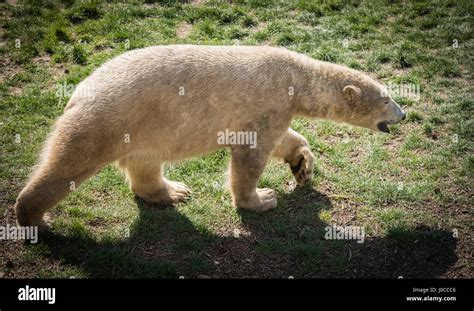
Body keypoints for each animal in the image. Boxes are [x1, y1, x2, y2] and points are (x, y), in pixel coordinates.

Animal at [15, 44, 408, 229]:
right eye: (386, 98)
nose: (403, 115)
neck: (296, 78)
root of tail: (79, 90)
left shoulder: (276, 109)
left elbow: (284, 138)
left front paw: (302, 165)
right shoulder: (269, 101)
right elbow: (250, 155)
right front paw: (262, 199)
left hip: (142, 127)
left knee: (145, 162)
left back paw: (173, 191)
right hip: (106, 119)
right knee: (68, 163)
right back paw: (35, 218)